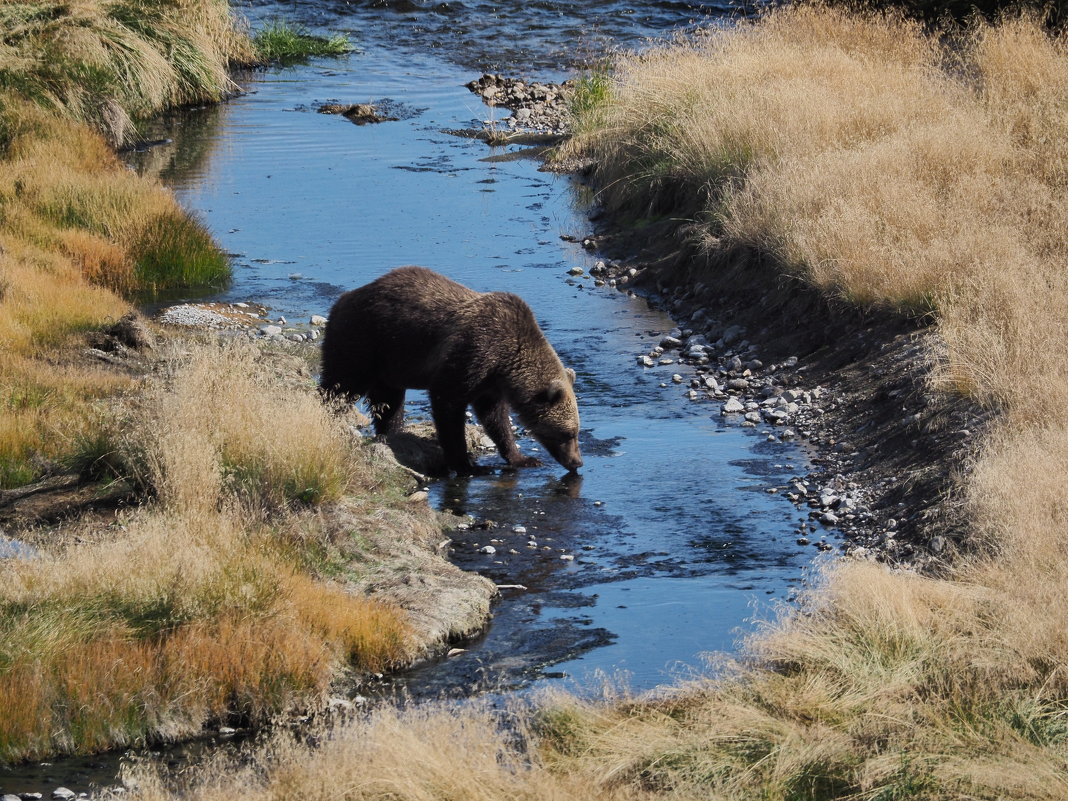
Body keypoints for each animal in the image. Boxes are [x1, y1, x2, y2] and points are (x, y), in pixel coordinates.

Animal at [320, 267, 585, 474]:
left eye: (575, 432)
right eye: (568, 433)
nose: (577, 462)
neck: (506, 363)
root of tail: (341, 301)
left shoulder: (489, 381)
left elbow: (495, 418)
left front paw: (523, 458)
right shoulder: (472, 354)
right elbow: (448, 403)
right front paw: (467, 464)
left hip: (389, 364)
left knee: (389, 403)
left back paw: (391, 433)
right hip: (363, 341)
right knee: (340, 384)